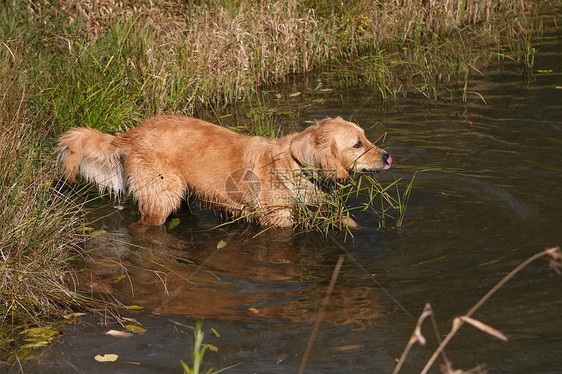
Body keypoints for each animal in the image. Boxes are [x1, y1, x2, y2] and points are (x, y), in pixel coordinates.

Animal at [57, 117, 390, 226]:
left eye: (366, 137)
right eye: (358, 144)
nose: (388, 156)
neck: (295, 163)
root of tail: (131, 134)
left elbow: (346, 221)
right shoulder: (278, 218)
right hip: (162, 196)